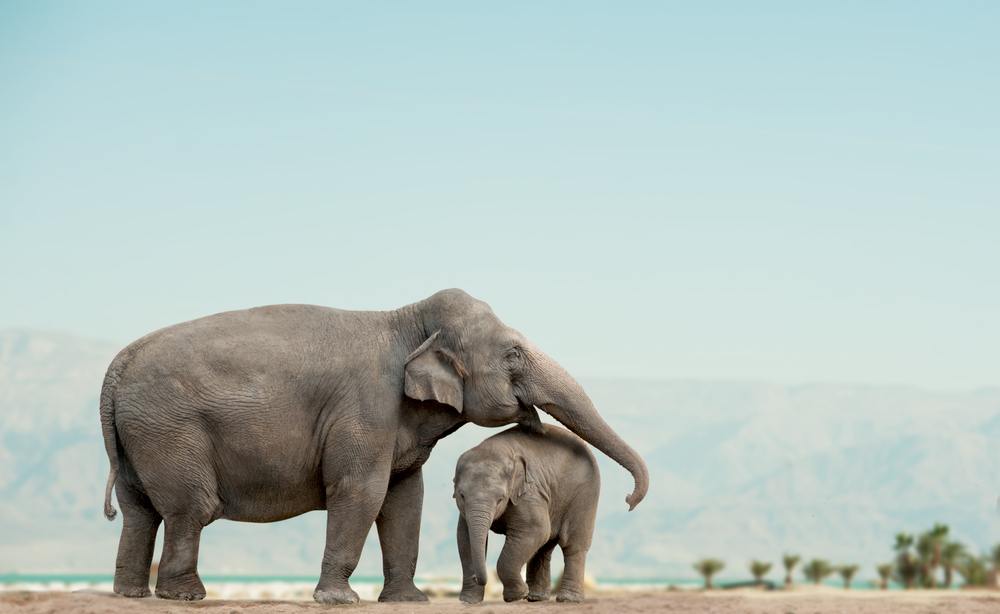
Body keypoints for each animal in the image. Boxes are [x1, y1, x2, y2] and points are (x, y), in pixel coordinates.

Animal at [454, 424, 600, 603]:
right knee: (544, 547)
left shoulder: (529, 493)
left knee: (572, 545)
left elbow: (536, 529)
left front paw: (517, 596)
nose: (477, 577)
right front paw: (468, 601)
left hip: (585, 494)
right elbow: (464, 537)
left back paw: (567, 599)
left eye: (500, 499)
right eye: (461, 495)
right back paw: (536, 598)